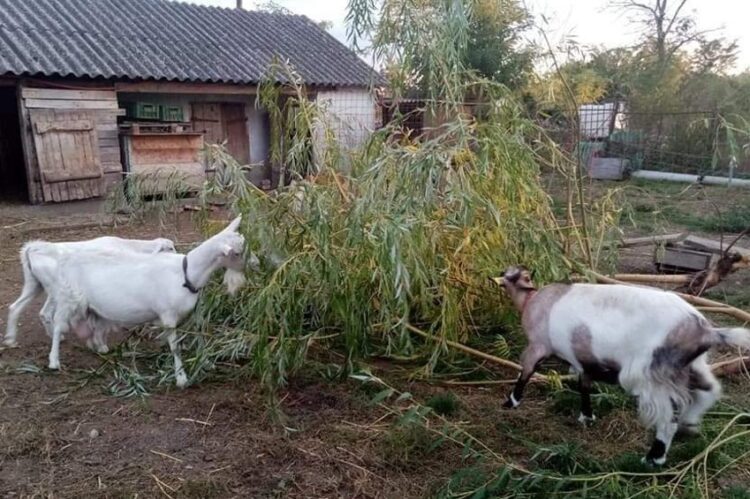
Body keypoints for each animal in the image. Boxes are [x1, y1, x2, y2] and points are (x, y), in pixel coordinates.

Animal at [4, 236, 176, 354]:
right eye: (170, 248)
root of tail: (33, 249)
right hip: (56, 289)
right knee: (44, 313)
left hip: (34, 285)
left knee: (15, 307)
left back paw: (11, 339)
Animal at [41, 217, 245, 388]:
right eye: (237, 253)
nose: (252, 264)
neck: (186, 274)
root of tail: (67, 258)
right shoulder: (168, 315)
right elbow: (176, 348)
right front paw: (181, 379)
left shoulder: (195, 314)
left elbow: (200, 337)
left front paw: (207, 363)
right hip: (69, 298)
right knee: (58, 325)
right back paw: (54, 361)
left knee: (94, 323)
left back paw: (100, 347)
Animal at [494, 268, 750, 466]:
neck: (532, 300)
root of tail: (705, 331)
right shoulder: (584, 360)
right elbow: (584, 385)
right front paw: (586, 416)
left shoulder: (537, 346)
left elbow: (526, 371)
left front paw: (511, 402)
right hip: (689, 366)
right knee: (708, 390)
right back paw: (690, 426)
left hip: (653, 373)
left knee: (669, 415)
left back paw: (654, 458)